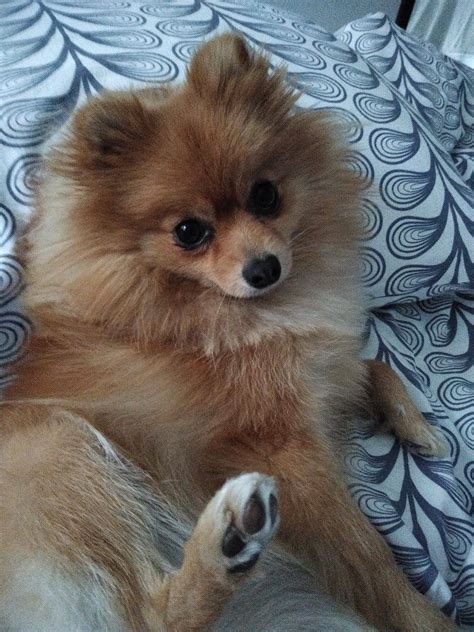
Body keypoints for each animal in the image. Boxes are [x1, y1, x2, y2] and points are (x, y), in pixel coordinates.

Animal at [0, 35, 450, 632]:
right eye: (189, 232)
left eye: (265, 195)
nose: (263, 269)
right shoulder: (284, 447)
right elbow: (369, 556)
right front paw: (425, 618)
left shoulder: (325, 376)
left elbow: (373, 367)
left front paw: (417, 426)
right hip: (63, 448)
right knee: (153, 616)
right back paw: (228, 538)